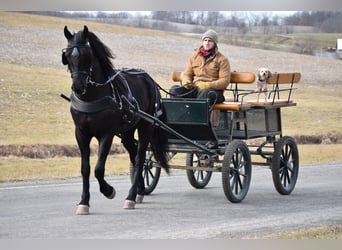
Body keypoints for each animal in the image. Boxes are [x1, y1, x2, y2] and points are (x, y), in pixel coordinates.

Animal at [62, 24, 170, 213]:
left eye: (87, 55)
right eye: (67, 56)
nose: (78, 86)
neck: (92, 97)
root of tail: (149, 79)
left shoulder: (107, 134)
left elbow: (98, 169)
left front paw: (109, 191)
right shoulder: (81, 134)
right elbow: (85, 168)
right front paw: (84, 202)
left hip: (146, 126)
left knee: (141, 158)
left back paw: (131, 197)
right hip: (127, 131)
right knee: (134, 154)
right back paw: (140, 190)